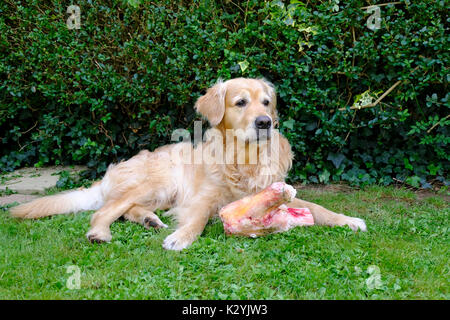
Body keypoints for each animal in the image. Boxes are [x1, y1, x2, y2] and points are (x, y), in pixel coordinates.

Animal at [10, 77, 368, 250]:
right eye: (241, 102)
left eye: (267, 102)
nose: (265, 122)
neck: (243, 160)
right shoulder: (203, 198)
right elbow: (196, 219)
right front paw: (180, 238)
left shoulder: (276, 192)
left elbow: (320, 209)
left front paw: (349, 220)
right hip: (155, 181)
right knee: (105, 211)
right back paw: (100, 233)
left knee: (127, 210)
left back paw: (150, 220)